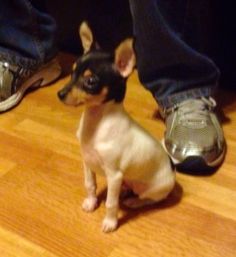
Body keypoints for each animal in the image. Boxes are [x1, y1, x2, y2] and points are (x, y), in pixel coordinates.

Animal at [57, 21, 175, 231]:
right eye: (72, 73)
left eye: (90, 81)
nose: (60, 94)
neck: (96, 123)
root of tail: (171, 169)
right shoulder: (88, 162)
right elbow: (90, 185)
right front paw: (91, 203)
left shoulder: (114, 176)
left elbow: (111, 203)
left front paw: (110, 223)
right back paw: (127, 191)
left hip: (153, 190)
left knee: (151, 199)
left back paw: (134, 201)